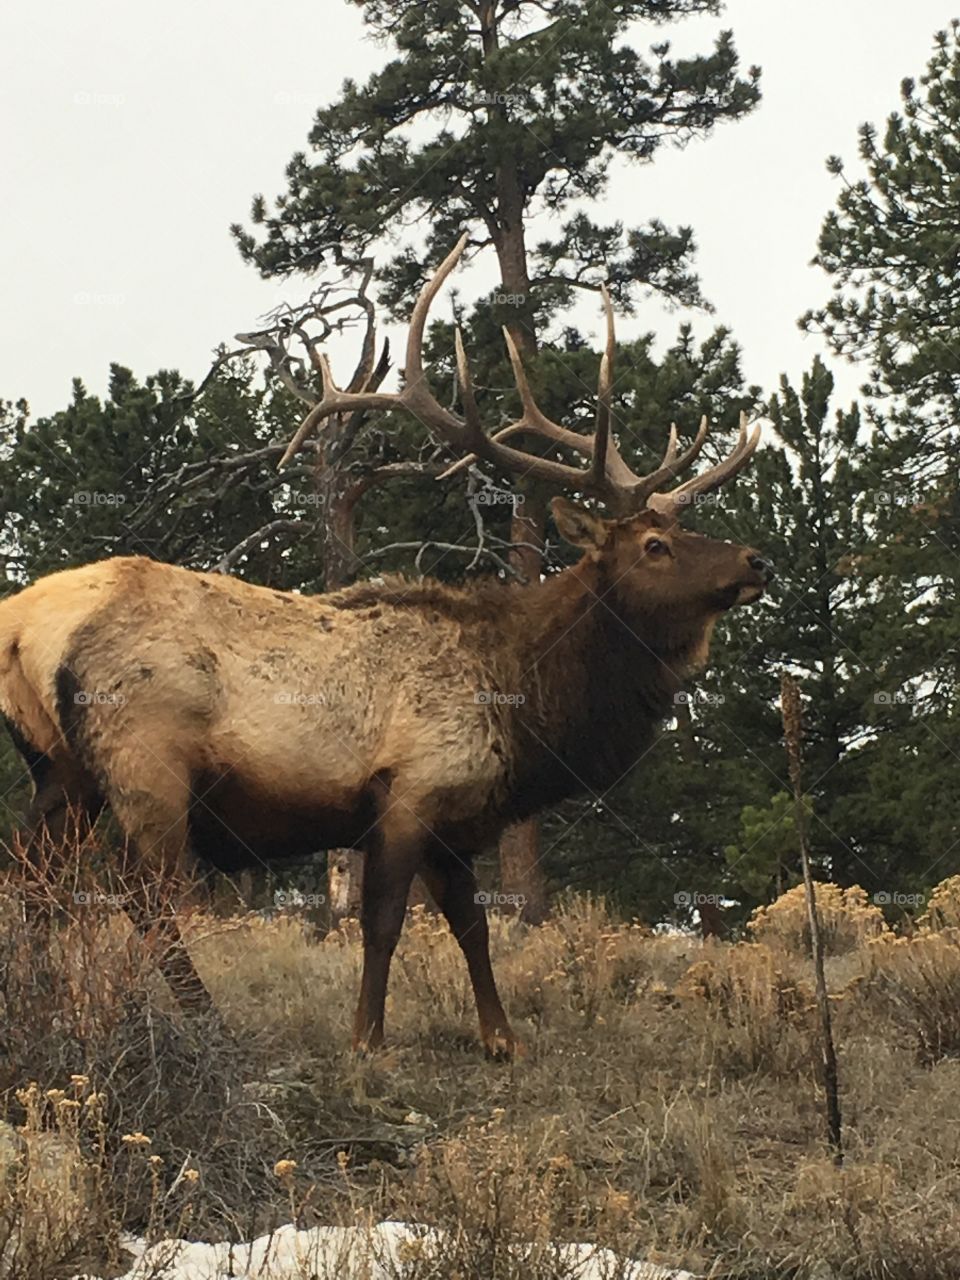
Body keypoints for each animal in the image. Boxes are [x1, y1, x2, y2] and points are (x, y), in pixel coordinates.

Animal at [0, 235, 773, 1054]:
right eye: (656, 545)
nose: (757, 561)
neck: (524, 706)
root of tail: (20, 621)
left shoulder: (456, 823)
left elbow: (472, 927)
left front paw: (500, 1038)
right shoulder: (409, 791)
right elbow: (384, 923)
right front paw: (366, 1038)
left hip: (59, 768)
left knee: (31, 884)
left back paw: (45, 1009)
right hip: (146, 761)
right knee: (140, 898)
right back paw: (207, 1026)